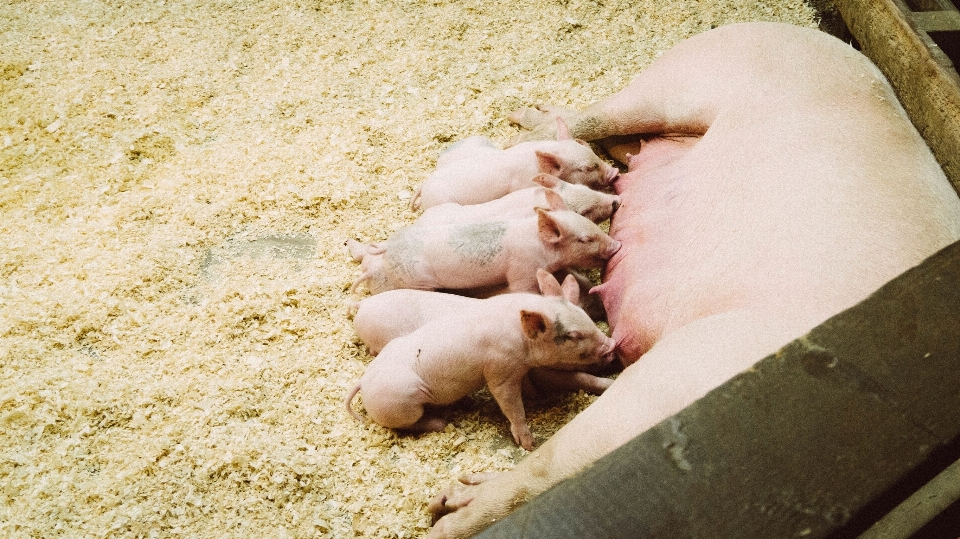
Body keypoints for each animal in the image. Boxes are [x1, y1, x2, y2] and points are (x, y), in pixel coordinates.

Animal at [344, 205, 624, 296]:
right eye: (585, 239)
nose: (617, 245)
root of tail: (390, 248)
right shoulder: (521, 270)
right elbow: (523, 289)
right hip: (418, 281)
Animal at [344, 270, 616, 452]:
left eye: (586, 318)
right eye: (574, 336)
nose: (612, 345)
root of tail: (363, 383)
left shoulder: (520, 369)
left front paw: (535, 397)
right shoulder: (499, 371)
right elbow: (513, 405)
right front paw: (529, 444)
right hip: (403, 404)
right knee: (408, 424)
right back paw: (441, 422)